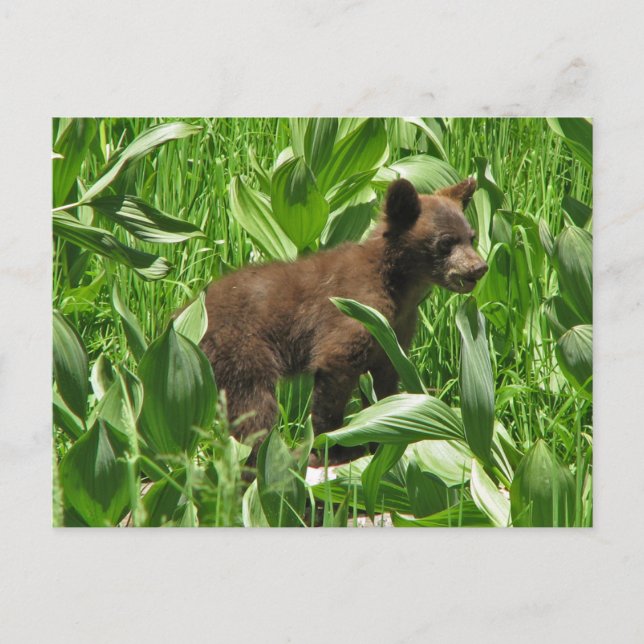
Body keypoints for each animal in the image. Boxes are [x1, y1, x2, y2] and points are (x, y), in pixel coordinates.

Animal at [200, 177, 488, 462]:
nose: (480, 267)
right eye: (446, 241)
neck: (398, 287)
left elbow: (384, 387)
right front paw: (334, 448)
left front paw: (380, 440)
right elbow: (334, 372)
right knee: (253, 409)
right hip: (243, 350)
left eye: (471, 237)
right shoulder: (353, 311)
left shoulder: (395, 334)